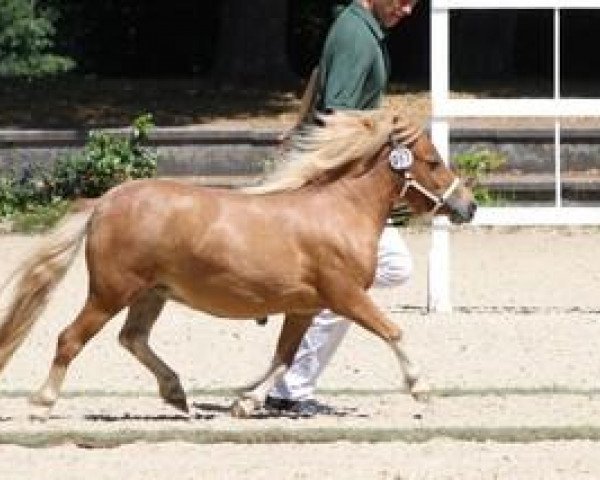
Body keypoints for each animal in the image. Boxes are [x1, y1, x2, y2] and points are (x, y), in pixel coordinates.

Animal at [0, 110, 476, 418]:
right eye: (433, 161)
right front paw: (422, 388)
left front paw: (245, 401)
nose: (468, 206)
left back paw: (177, 395)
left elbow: (285, 355)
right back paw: (43, 403)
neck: (340, 211)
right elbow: (393, 331)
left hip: (151, 294)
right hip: (110, 292)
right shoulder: (346, 295)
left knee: (132, 339)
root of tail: (104, 202)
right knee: (70, 338)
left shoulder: (304, 307)